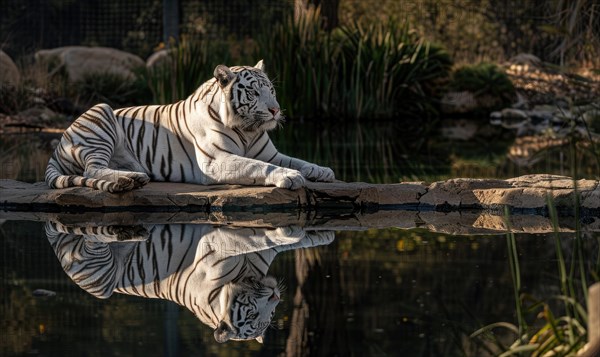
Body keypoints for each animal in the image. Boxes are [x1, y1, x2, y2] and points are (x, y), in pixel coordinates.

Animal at [45, 60, 338, 192]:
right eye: (254, 92)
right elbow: (259, 166)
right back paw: (129, 179)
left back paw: (136, 176)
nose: (275, 110)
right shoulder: (217, 160)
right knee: (92, 168)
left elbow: (297, 160)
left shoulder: (270, 153)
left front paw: (322, 170)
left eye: (272, 90)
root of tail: (59, 144)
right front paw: (290, 177)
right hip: (100, 112)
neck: (248, 130)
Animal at [45, 221, 338, 340]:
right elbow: (270, 237)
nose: (276, 297)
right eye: (253, 315)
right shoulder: (224, 245)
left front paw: (322, 236)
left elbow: (289, 239)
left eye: (267, 320)